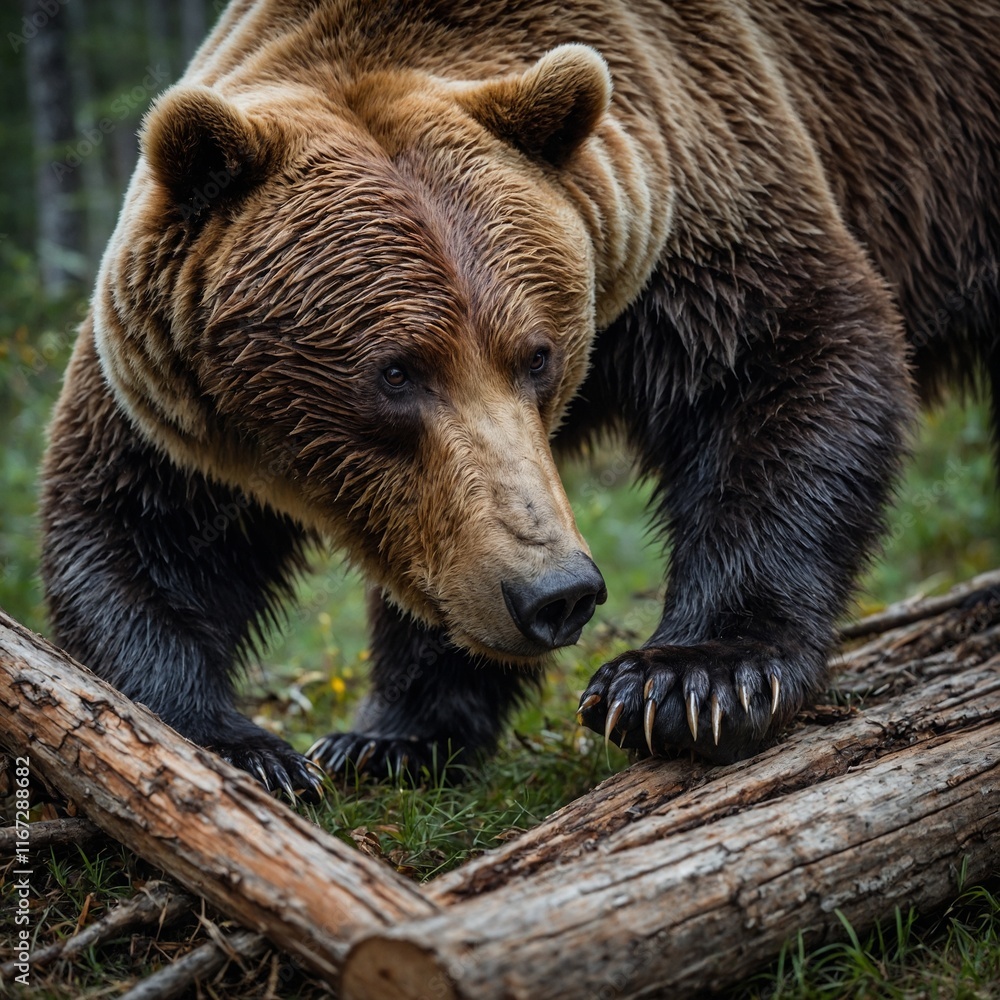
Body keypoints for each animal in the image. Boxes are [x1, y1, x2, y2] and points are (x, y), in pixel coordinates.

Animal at [40, 0, 999, 799]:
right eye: (397, 372)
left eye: (537, 355)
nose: (558, 592)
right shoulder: (172, 386)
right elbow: (138, 529)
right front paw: (316, 747)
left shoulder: (698, 192)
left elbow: (785, 365)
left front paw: (686, 681)